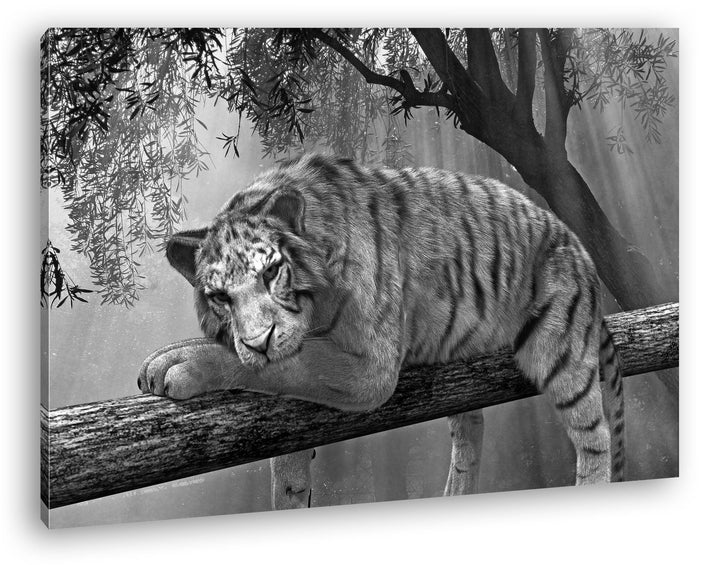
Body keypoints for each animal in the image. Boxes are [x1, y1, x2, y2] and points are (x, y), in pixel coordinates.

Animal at [138, 153, 625, 510]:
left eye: (273, 271)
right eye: (220, 297)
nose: (259, 341)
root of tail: (578, 245)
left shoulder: (369, 371)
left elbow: (286, 365)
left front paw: (179, 361)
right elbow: (286, 458)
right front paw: (291, 495)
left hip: (562, 354)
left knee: (595, 438)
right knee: (471, 429)